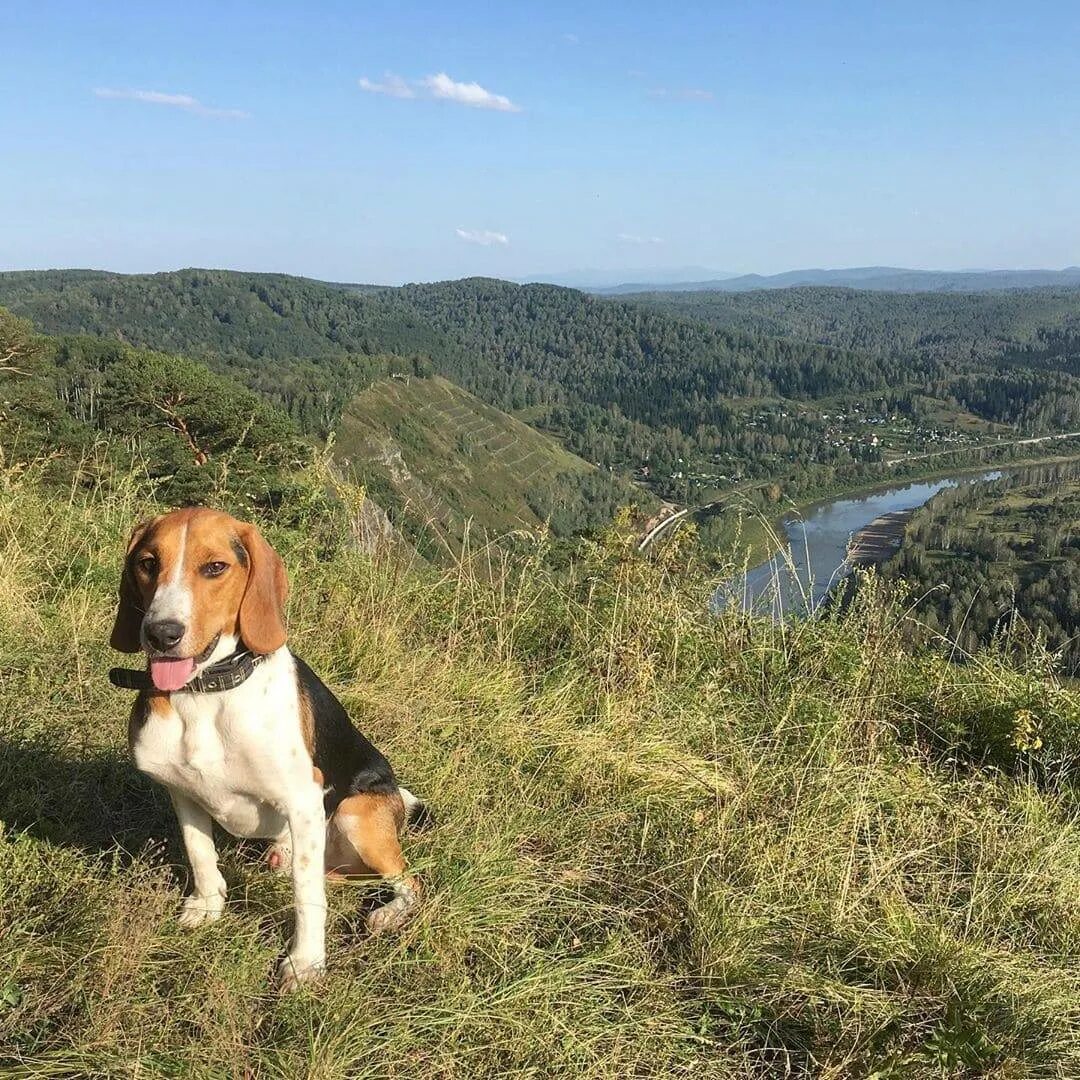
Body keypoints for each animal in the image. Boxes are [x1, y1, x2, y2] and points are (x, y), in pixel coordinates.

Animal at [108, 509, 421, 989]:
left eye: (215, 567)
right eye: (146, 563)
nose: (161, 634)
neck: (205, 692)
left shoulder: (305, 797)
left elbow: (307, 896)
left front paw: (306, 963)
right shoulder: (183, 791)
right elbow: (201, 853)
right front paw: (208, 905)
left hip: (356, 814)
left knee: (410, 882)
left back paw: (388, 915)